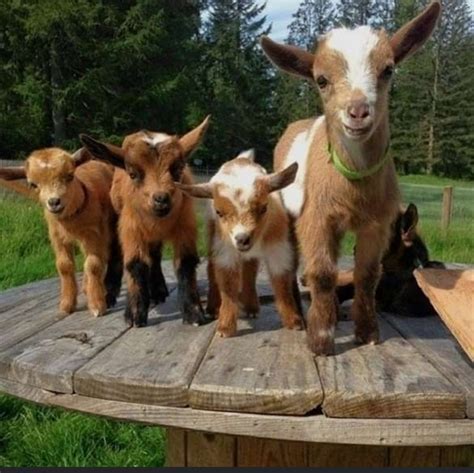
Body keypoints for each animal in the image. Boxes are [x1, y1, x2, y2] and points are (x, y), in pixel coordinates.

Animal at [0, 149, 123, 316]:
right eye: (33, 184)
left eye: (70, 176)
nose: (54, 202)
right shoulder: (56, 236)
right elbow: (64, 265)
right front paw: (66, 304)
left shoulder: (93, 233)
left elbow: (93, 264)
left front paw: (97, 305)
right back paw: (87, 287)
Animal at [80, 116, 210, 326]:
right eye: (133, 174)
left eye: (178, 169)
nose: (161, 199)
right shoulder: (131, 226)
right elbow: (136, 264)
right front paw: (134, 315)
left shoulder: (185, 224)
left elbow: (185, 263)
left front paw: (193, 312)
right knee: (117, 253)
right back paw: (110, 293)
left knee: (155, 255)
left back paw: (158, 290)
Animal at [176, 149, 302, 338]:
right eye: (219, 212)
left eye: (264, 208)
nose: (242, 239)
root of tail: (240, 159)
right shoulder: (226, 250)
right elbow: (227, 284)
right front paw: (225, 327)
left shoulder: (278, 247)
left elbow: (281, 283)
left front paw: (293, 321)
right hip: (212, 234)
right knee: (212, 268)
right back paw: (213, 308)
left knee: (250, 269)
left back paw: (251, 307)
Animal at [260, 0, 440, 354]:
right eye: (321, 80)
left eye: (388, 70)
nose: (357, 112)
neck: (353, 184)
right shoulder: (315, 218)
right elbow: (321, 273)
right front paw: (320, 340)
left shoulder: (377, 224)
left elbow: (367, 275)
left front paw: (366, 333)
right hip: (287, 211)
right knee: (289, 265)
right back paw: (297, 318)